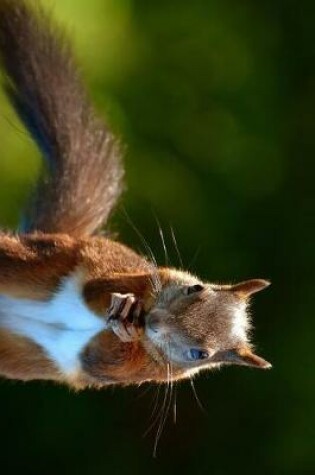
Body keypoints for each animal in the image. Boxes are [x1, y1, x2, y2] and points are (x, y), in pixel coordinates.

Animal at [0, 0, 272, 390]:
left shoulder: (140, 370)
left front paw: (124, 331)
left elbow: (101, 360)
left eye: (200, 354)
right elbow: (99, 283)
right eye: (195, 288)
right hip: (36, 258)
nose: (152, 321)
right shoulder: (136, 271)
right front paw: (126, 307)